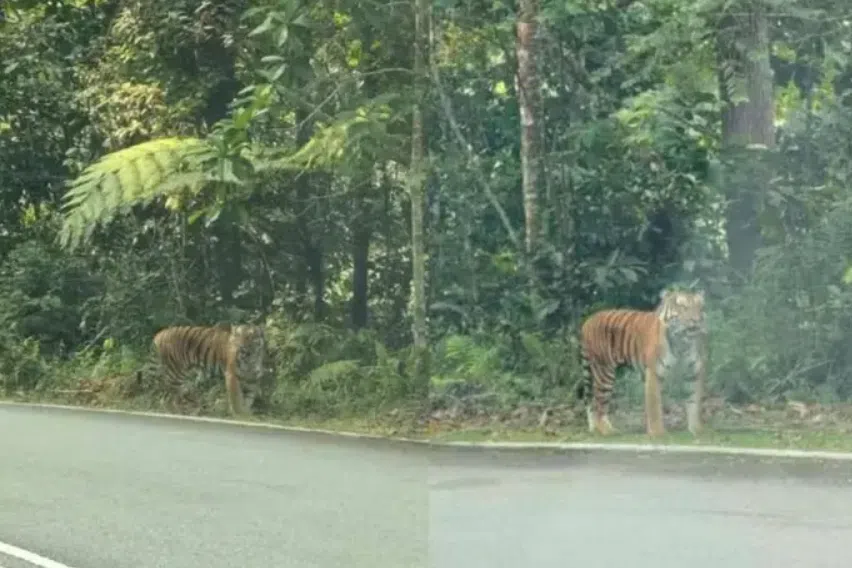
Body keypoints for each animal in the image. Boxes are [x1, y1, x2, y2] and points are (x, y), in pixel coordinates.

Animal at [577, 289, 707, 438]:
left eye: (699, 308)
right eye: (683, 307)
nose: (696, 320)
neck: (682, 343)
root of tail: (588, 320)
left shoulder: (694, 373)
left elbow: (694, 402)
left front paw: (697, 429)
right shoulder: (654, 373)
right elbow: (654, 407)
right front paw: (658, 433)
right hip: (604, 372)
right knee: (599, 405)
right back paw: (608, 431)